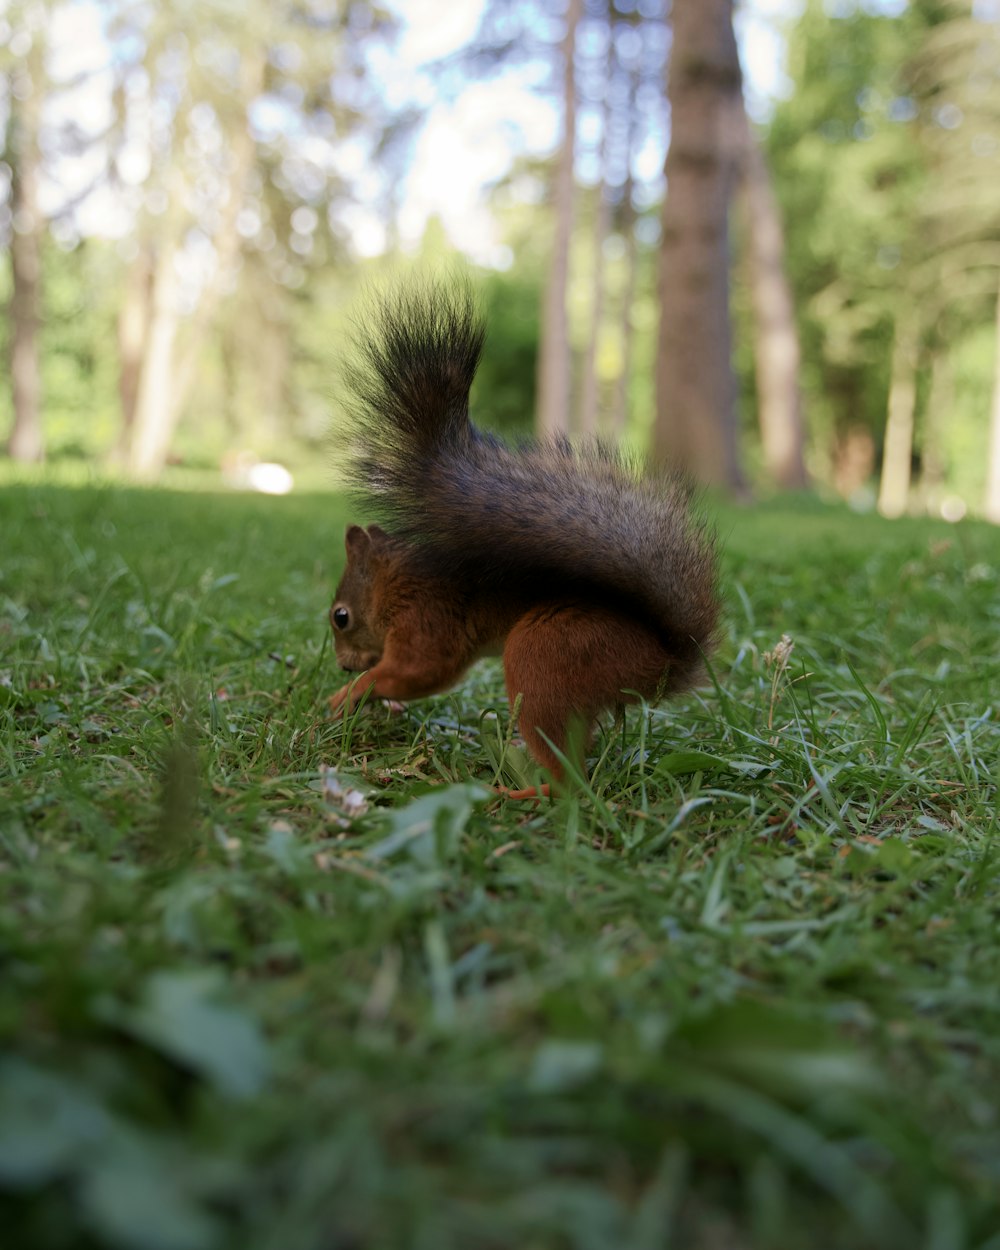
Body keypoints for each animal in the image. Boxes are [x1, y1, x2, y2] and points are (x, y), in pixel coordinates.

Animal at [327, 285, 720, 795]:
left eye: (341, 617)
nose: (342, 665)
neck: (395, 584)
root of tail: (662, 664)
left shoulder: (426, 621)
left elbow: (420, 672)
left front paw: (350, 693)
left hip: (545, 656)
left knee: (570, 783)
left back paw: (516, 794)